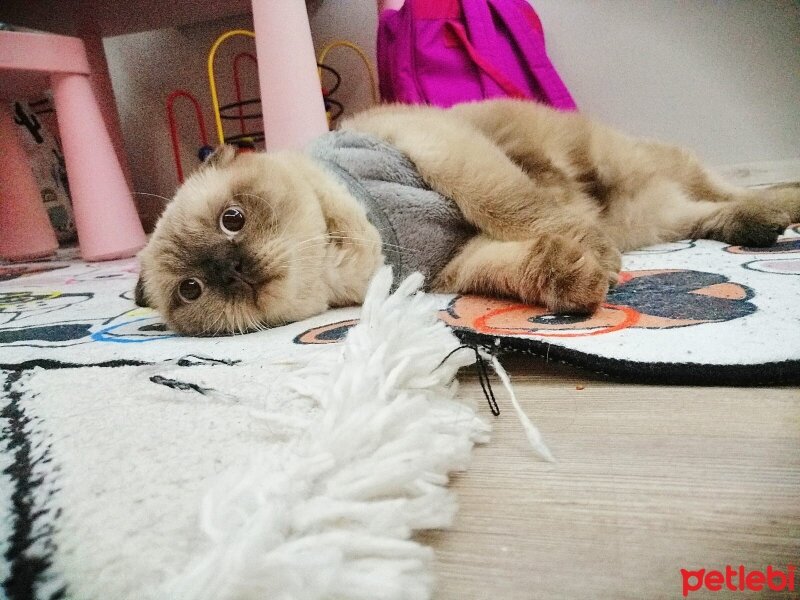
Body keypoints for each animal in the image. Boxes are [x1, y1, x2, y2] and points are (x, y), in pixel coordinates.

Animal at [134, 98, 796, 336]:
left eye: (233, 219)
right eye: (192, 290)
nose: (231, 269)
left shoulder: (438, 152)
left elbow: (514, 206)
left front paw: (598, 259)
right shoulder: (453, 265)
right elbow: (518, 267)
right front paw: (579, 279)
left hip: (632, 167)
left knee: (718, 186)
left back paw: (782, 209)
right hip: (656, 216)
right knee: (707, 213)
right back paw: (756, 226)